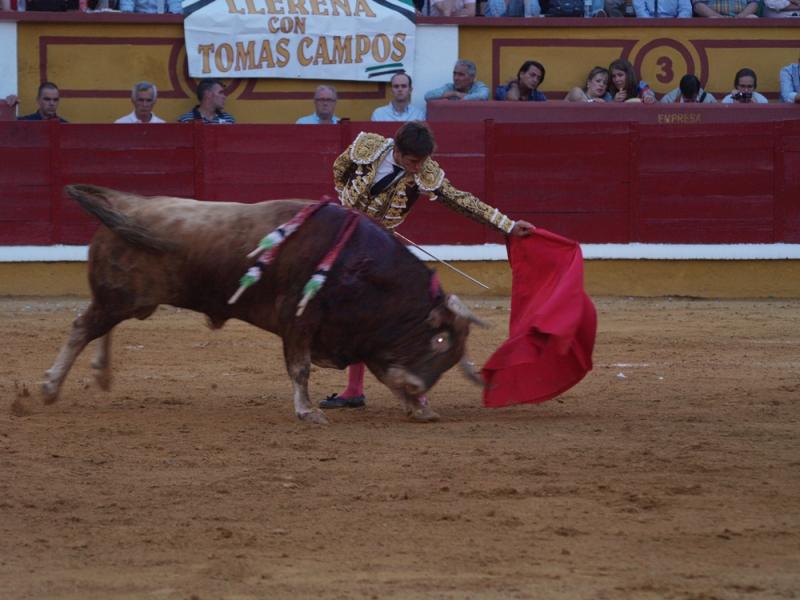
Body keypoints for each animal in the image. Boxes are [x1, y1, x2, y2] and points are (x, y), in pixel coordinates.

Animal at [43, 185, 484, 424]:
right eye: (440, 341)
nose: (421, 388)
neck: (357, 267)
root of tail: (120, 207)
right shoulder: (299, 320)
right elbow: (300, 368)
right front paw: (308, 412)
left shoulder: (364, 336)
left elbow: (383, 373)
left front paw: (418, 407)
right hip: (117, 298)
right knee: (82, 327)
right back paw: (49, 387)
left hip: (126, 301)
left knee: (100, 328)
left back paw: (101, 373)